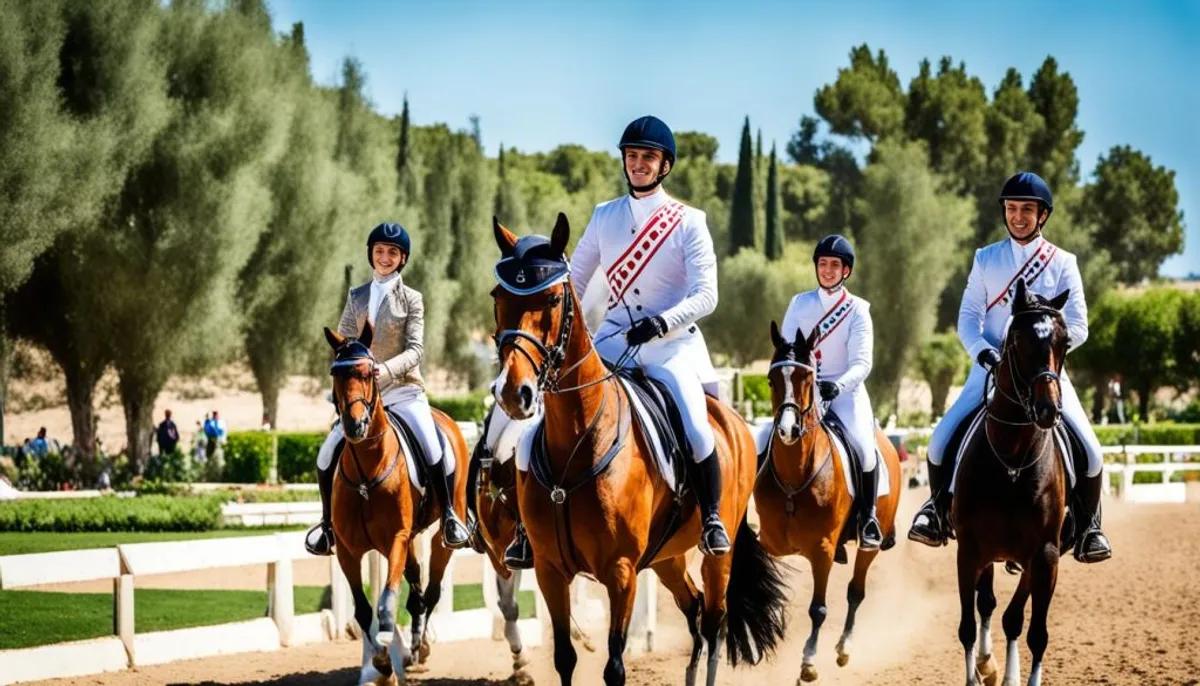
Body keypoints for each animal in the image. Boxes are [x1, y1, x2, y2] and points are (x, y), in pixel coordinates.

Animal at [326, 326, 470, 686]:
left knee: (430, 590)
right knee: (417, 588)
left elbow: (387, 601)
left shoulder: (395, 540)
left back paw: (419, 648)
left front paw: (386, 649)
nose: (355, 426)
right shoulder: (348, 550)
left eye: (368, 372)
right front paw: (379, 659)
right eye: (336, 374)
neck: (367, 471)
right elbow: (363, 609)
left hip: (442, 533)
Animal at [487, 214, 787, 686]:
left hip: (715, 557)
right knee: (693, 608)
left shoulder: (621, 571)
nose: (514, 393)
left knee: (714, 622)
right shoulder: (550, 570)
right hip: (667, 557)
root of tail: (733, 418)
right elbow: (564, 658)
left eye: (553, 299)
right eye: (498, 296)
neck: (577, 444)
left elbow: (615, 666)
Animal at [758, 321, 902, 681]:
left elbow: (819, 608)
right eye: (771, 379)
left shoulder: (821, 549)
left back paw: (843, 648)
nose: (787, 430)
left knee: (856, 591)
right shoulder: (771, 542)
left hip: (870, 543)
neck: (795, 476)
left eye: (806, 379)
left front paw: (808, 661)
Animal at [950, 279, 1075, 686]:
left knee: (1011, 616)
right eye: (1018, 340)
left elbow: (1035, 632)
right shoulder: (969, 549)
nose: (1048, 410)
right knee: (988, 605)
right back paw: (988, 663)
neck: (1012, 460)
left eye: (1065, 342)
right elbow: (968, 626)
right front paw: (977, 672)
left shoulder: (1046, 555)